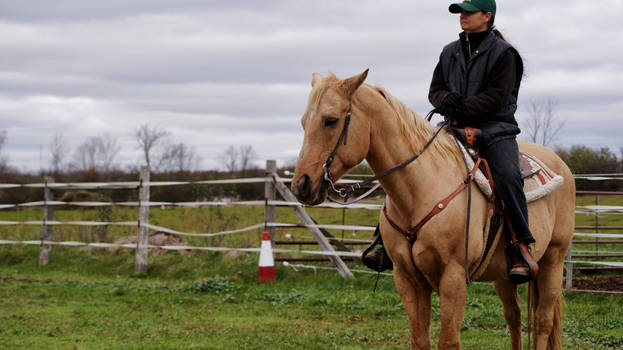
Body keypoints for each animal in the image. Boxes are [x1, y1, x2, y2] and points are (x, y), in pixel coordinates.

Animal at [292, 69, 576, 348]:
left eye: (331, 120)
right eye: (304, 122)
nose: (301, 185)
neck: (422, 188)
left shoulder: (453, 279)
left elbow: (448, 341)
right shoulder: (407, 279)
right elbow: (420, 339)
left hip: (552, 260)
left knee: (542, 322)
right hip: (504, 275)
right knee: (513, 317)